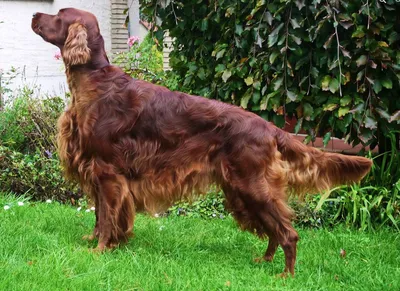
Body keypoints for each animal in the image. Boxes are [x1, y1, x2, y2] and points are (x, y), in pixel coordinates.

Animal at [31, 8, 372, 278]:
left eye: (58, 15)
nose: (34, 15)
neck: (94, 82)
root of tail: (269, 128)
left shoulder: (106, 172)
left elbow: (106, 216)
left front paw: (101, 249)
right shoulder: (100, 173)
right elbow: (100, 215)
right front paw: (95, 242)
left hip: (252, 185)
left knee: (288, 233)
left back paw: (285, 275)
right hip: (244, 188)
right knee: (274, 230)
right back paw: (264, 261)